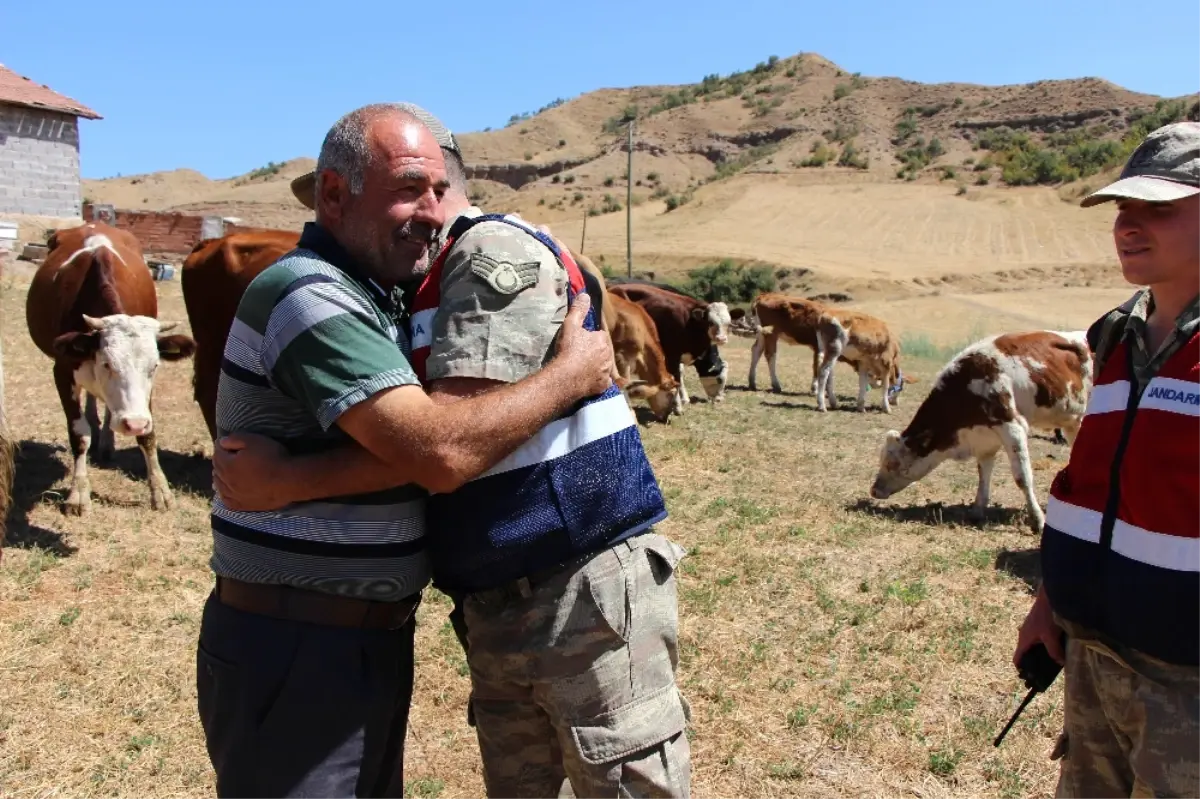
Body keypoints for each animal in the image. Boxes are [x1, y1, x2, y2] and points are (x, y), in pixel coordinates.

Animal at [25, 220, 196, 513]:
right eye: (106, 363)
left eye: (154, 366)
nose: (133, 423)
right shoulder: (63, 371)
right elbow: (79, 434)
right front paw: (78, 494)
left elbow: (149, 436)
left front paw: (160, 491)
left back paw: (106, 441)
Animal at [609, 281, 729, 410]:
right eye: (719, 379)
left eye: (728, 323)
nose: (719, 399)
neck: (689, 321)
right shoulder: (672, 355)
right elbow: (676, 376)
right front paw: (678, 405)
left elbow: (679, 375)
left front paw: (684, 398)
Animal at [868, 326, 1094, 532]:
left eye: (892, 463)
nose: (874, 490)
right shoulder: (985, 437)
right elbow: (983, 473)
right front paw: (977, 511)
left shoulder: (1012, 426)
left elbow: (1022, 477)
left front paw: (1037, 520)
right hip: (1073, 424)